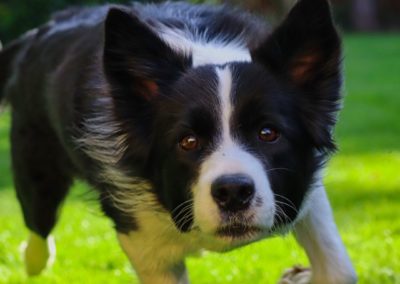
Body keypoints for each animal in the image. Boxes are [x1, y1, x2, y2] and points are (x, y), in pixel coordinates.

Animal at [0, 0, 356, 282]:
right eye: (188, 141)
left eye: (268, 133)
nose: (233, 192)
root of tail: (39, 33)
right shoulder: (141, 237)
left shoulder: (304, 189)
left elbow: (339, 270)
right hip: (37, 176)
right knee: (38, 229)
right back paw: (33, 260)